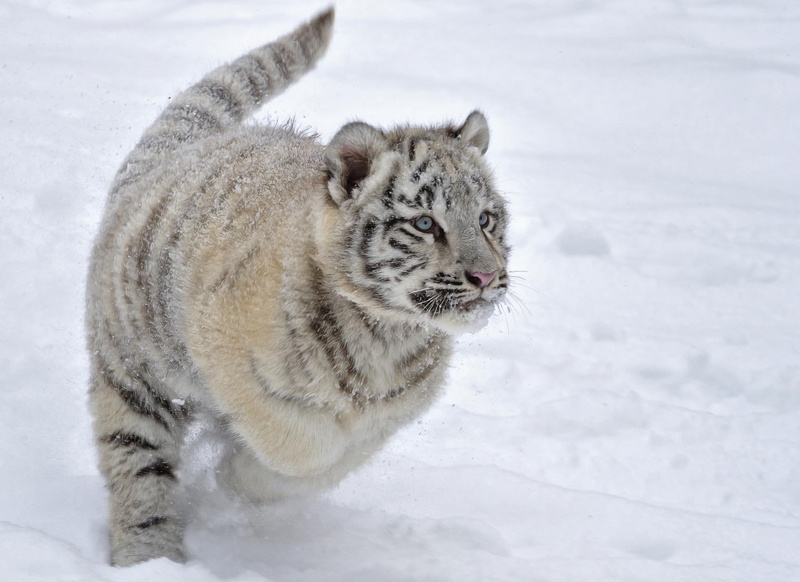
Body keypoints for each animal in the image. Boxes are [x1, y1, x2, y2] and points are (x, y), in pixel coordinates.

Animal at [86, 7, 510, 566]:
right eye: (424, 224)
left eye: (485, 219)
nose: (485, 276)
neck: (386, 334)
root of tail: (178, 154)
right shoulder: (228, 355)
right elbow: (300, 445)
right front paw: (234, 474)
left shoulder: (385, 418)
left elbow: (328, 461)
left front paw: (241, 477)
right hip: (133, 374)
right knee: (139, 471)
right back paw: (149, 559)